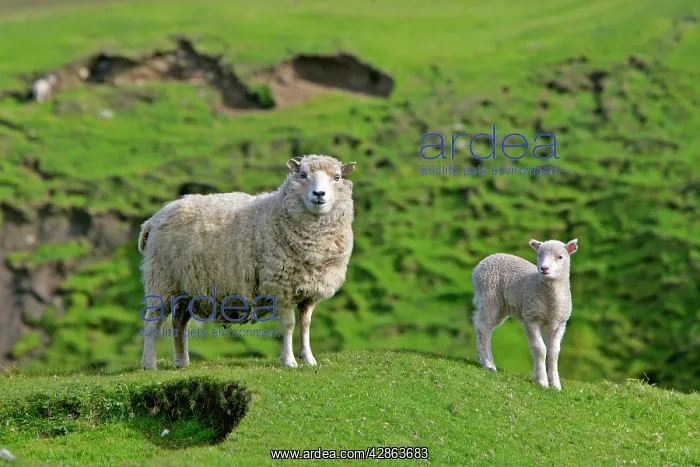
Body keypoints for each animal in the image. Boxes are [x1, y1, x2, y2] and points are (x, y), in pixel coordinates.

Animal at [139, 154, 356, 370]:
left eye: (337, 177)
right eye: (303, 174)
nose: (319, 194)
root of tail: (156, 217)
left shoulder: (309, 292)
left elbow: (305, 324)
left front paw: (309, 359)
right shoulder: (281, 287)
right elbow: (289, 324)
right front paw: (289, 360)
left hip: (187, 287)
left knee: (179, 322)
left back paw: (182, 362)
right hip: (162, 278)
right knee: (153, 322)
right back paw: (150, 365)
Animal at [471, 238, 579, 390]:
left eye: (560, 257)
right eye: (539, 255)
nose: (544, 268)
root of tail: (484, 261)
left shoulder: (559, 323)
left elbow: (554, 352)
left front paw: (556, 385)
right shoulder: (531, 318)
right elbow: (540, 349)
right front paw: (542, 381)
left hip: (500, 306)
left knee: (481, 323)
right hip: (489, 296)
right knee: (483, 327)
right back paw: (489, 364)